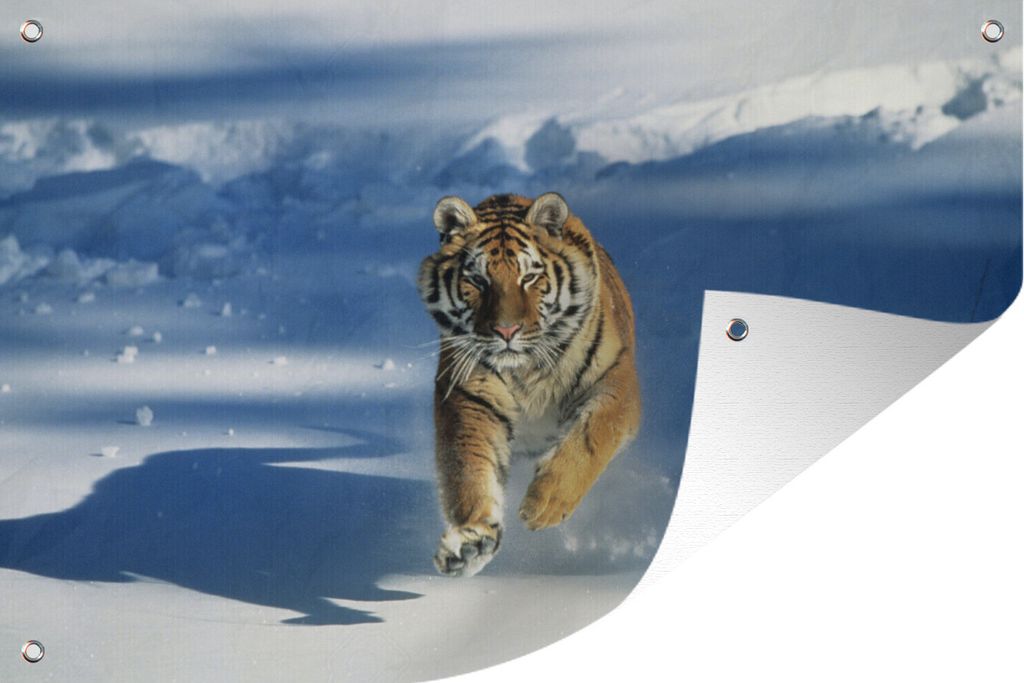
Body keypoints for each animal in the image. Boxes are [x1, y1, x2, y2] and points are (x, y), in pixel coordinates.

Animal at [417, 192, 641, 577]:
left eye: (530, 277)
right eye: (478, 280)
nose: (506, 331)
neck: (527, 370)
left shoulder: (617, 381)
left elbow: (593, 435)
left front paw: (545, 503)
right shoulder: (469, 397)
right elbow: (469, 469)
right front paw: (471, 544)